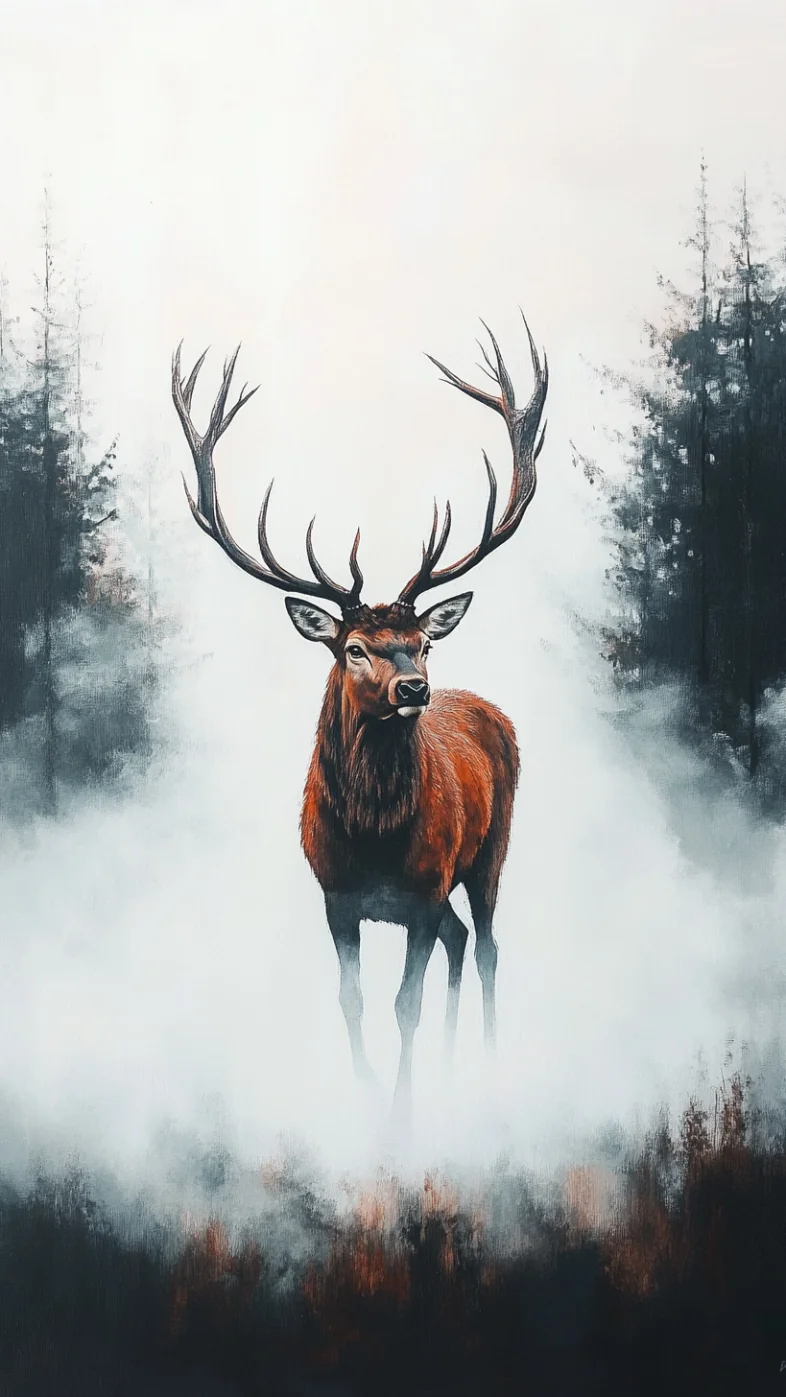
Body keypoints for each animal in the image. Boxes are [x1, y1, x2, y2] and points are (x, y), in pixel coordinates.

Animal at [171, 313, 548, 1113]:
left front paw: (400, 1113)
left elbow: (404, 1003)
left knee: (488, 943)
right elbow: (352, 1001)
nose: (414, 688)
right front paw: (369, 1093)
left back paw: (487, 1067)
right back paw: (450, 1066)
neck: (374, 838)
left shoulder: (423, 889)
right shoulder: (335, 896)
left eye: (423, 642)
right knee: (463, 941)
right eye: (353, 648)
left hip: (491, 847)